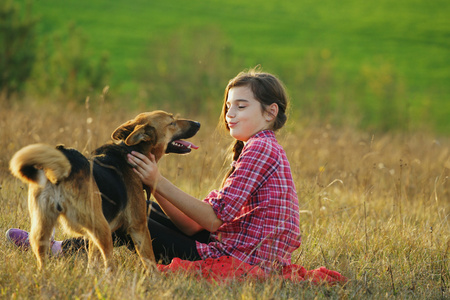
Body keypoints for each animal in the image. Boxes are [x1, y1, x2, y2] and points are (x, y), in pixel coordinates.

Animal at [9, 111, 200, 274]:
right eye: (172, 122)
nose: (198, 123)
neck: (131, 150)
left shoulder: (93, 238)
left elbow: (93, 263)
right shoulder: (139, 227)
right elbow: (150, 262)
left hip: (43, 229)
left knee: (42, 261)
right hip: (103, 229)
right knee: (110, 265)